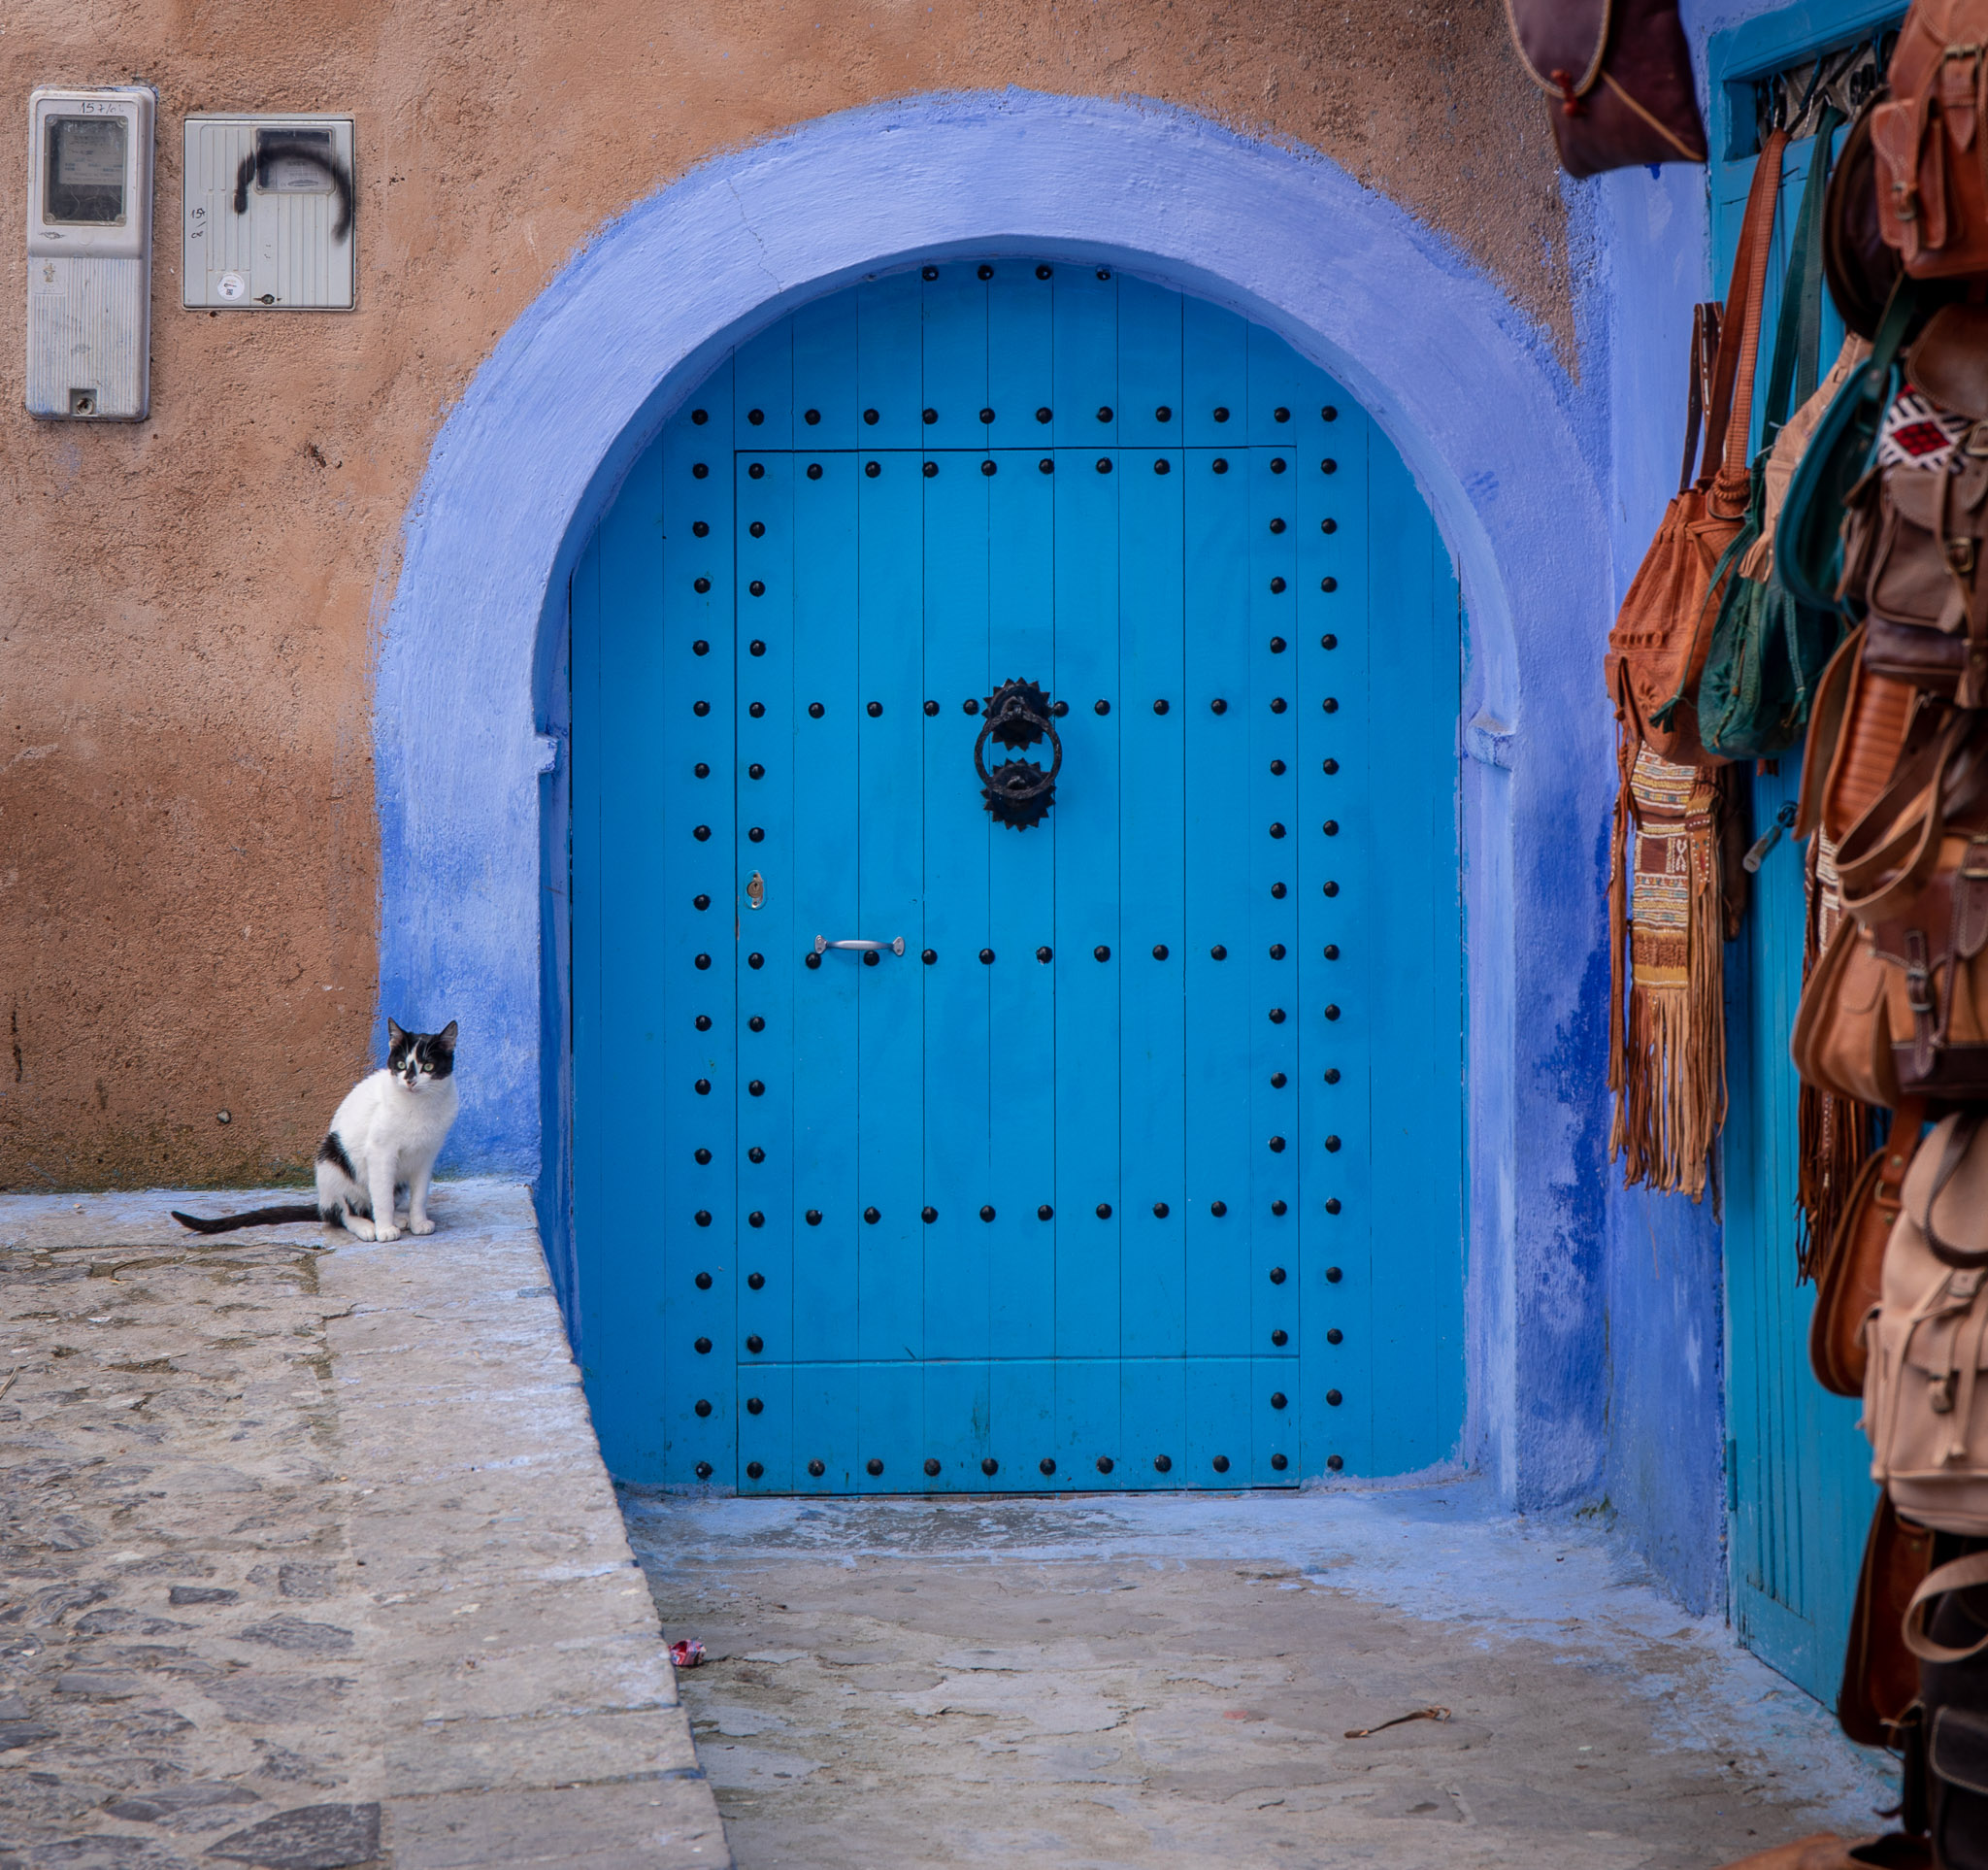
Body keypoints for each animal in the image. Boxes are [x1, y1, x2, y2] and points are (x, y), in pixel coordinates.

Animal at [173, 1026, 459, 1241]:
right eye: (400, 1064)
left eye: (428, 1067)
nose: (410, 1081)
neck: (419, 1106)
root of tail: (321, 1201)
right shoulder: (380, 1152)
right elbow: (380, 1197)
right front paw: (385, 1229)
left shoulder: (426, 1155)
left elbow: (419, 1196)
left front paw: (418, 1221)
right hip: (331, 1156)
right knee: (340, 1213)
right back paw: (368, 1226)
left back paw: (398, 1218)